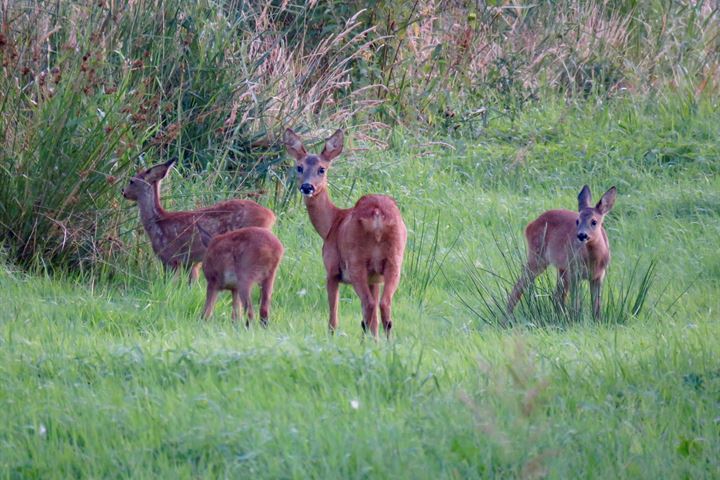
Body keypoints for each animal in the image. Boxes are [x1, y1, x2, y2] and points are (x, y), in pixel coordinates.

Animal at [122, 159, 274, 284]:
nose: (123, 192)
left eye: (132, 181)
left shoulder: (171, 258)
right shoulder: (192, 263)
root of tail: (270, 216)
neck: (157, 221)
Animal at [284, 127, 408, 338]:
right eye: (299, 167)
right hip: (394, 260)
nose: (307, 187)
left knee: (368, 305)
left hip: (356, 261)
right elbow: (374, 320)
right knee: (383, 305)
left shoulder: (332, 269)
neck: (332, 223)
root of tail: (377, 213)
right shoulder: (375, 279)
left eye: (322, 169)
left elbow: (333, 316)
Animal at [506, 186, 620, 320]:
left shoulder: (598, 276)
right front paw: (575, 319)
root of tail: (529, 225)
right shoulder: (575, 272)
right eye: (577, 221)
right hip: (538, 258)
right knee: (519, 286)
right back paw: (506, 317)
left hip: (561, 268)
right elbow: (575, 302)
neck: (594, 260)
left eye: (594, 221)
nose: (581, 235)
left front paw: (596, 321)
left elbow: (597, 306)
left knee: (557, 296)